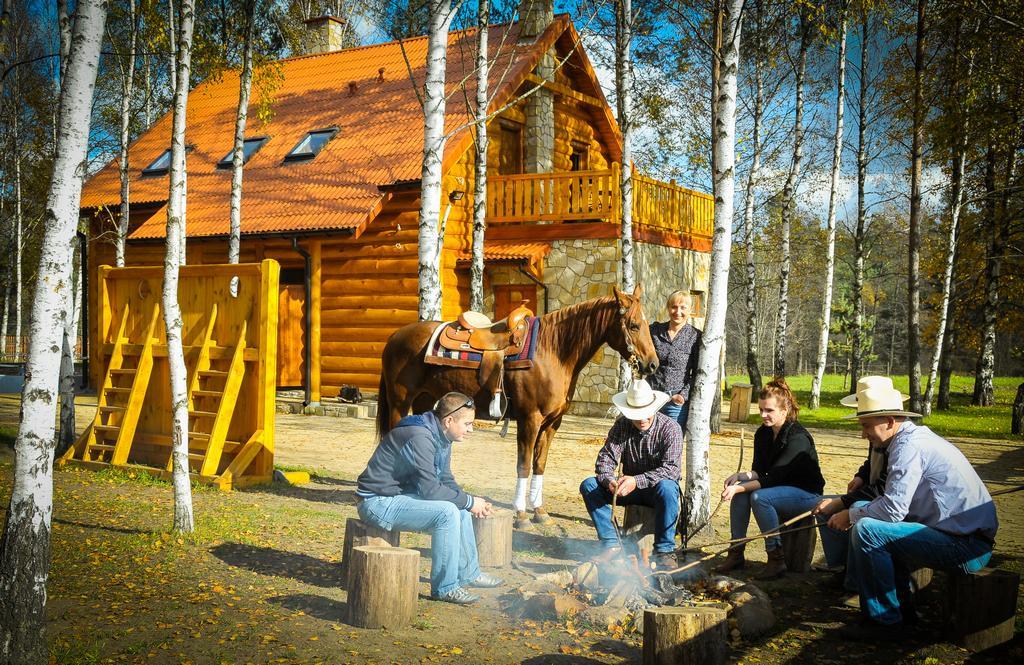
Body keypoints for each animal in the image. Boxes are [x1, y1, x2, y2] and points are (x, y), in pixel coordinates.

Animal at [374, 284, 655, 528]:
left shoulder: (552, 423)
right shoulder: (530, 419)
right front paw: (520, 515)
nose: (652, 364)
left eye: (646, 324)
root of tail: (394, 337)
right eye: (633, 325)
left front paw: (540, 512)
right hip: (400, 401)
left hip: (424, 401)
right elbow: (523, 465)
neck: (553, 351)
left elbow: (539, 464)